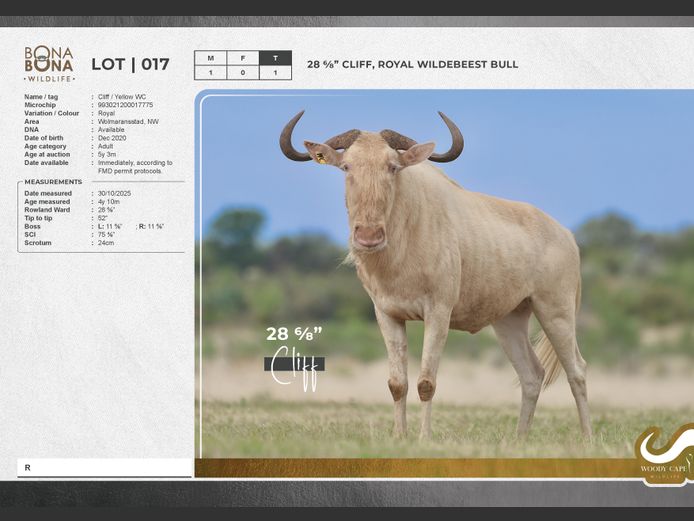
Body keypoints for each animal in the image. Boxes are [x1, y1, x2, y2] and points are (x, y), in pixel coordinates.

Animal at [280, 110, 592, 440]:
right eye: (346, 166)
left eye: (392, 166)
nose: (368, 237)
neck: (404, 241)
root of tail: (566, 235)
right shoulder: (387, 315)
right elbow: (397, 384)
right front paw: (399, 436)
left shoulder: (438, 312)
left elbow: (426, 382)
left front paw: (423, 438)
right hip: (510, 320)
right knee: (532, 375)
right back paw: (519, 441)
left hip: (555, 311)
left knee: (576, 371)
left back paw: (587, 439)